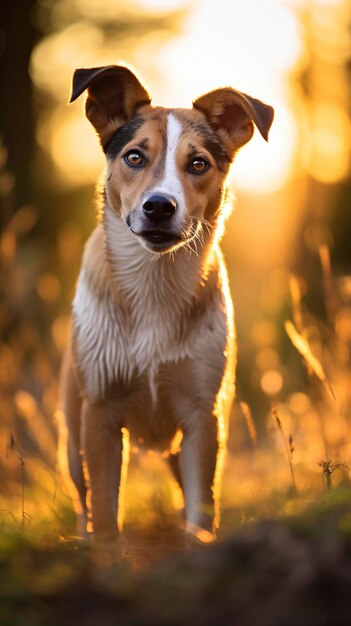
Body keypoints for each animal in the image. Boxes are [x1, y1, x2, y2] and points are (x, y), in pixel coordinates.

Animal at [59, 64, 276, 540]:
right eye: (134, 157)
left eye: (198, 163)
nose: (159, 206)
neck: (154, 285)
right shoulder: (100, 414)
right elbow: (105, 517)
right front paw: (105, 553)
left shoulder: (202, 417)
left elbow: (200, 509)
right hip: (72, 431)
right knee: (83, 500)